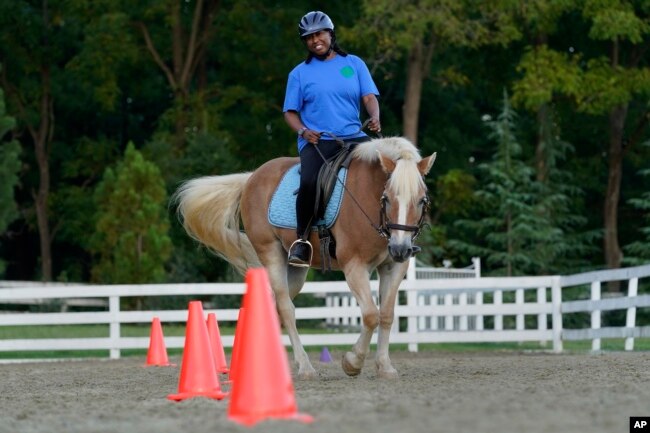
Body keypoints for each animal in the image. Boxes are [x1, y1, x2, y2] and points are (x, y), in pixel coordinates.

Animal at [172, 136, 436, 378]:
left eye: (421, 200)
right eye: (387, 198)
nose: (401, 248)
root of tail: (251, 178)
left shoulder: (393, 267)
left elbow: (387, 315)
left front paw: (384, 366)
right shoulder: (354, 267)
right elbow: (371, 315)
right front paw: (353, 361)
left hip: (297, 268)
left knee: (276, 306)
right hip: (271, 254)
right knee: (286, 308)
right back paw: (305, 366)